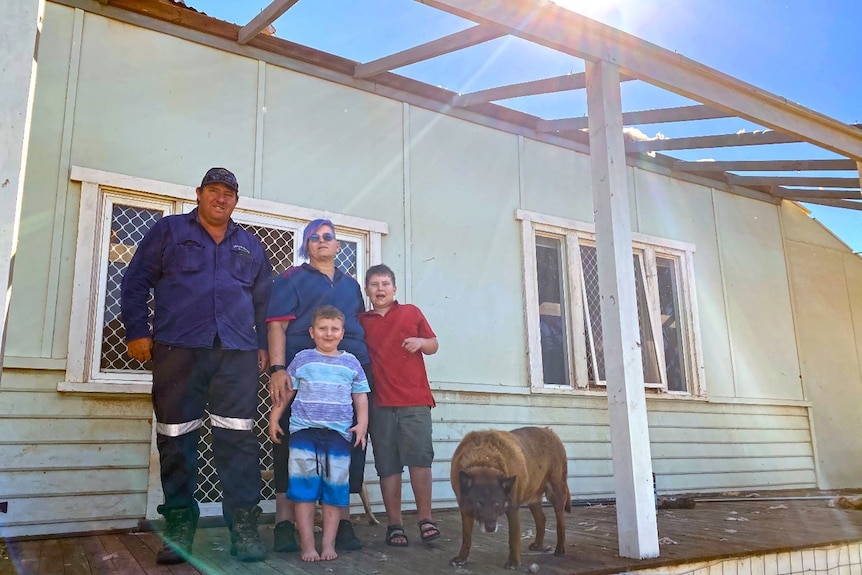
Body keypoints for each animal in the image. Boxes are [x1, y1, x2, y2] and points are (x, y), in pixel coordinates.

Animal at [448, 426, 572, 568]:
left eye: (497, 504)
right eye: (478, 503)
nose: (491, 528)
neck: (484, 459)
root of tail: (550, 431)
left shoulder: (512, 508)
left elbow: (513, 537)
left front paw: (513, 561)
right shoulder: (465, 509)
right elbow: (466, 537)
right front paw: (462, 558)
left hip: (556, 494)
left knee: (561, 522)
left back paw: (560, 548)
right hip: (533, 498)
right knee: (541, 519)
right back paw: (538, 544)